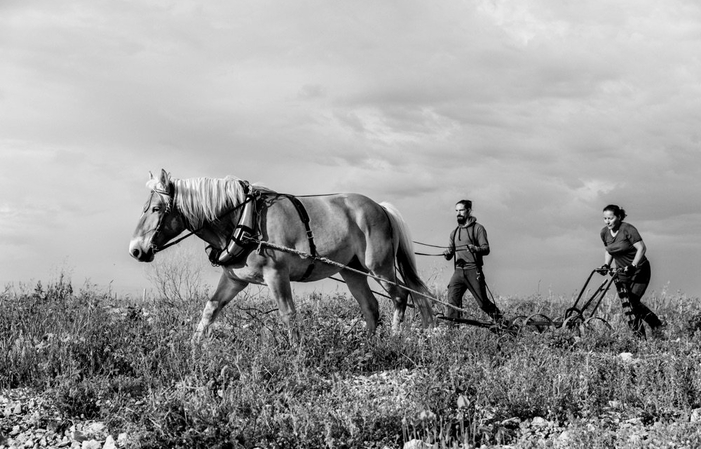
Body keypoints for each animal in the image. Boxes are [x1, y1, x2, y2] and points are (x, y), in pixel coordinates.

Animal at [126, 168, 432, 340]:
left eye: (156, 209)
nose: (135, 250)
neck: (243, 218)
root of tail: (380, 207)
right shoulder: (234, 279)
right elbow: (211, 309)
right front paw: (193, 349)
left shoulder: (276, 275)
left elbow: (288, 315)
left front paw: (297, 353)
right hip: (351, 271)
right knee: (370, 306)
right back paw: (369, 345)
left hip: (380, 267)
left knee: (400, 296)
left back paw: (393, 339)